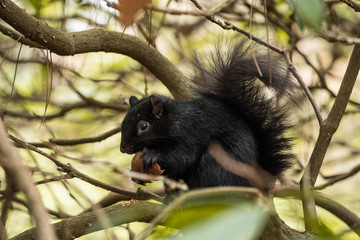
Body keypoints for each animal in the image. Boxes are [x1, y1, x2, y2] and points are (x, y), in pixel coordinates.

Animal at [119, 40, 296, 189]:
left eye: (143, 125)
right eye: (123, 123)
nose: (123, 148)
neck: (175, 120)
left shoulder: (190, 133)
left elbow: (182, 157)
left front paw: (152, 155)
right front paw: (136, 175)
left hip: (219, 161)